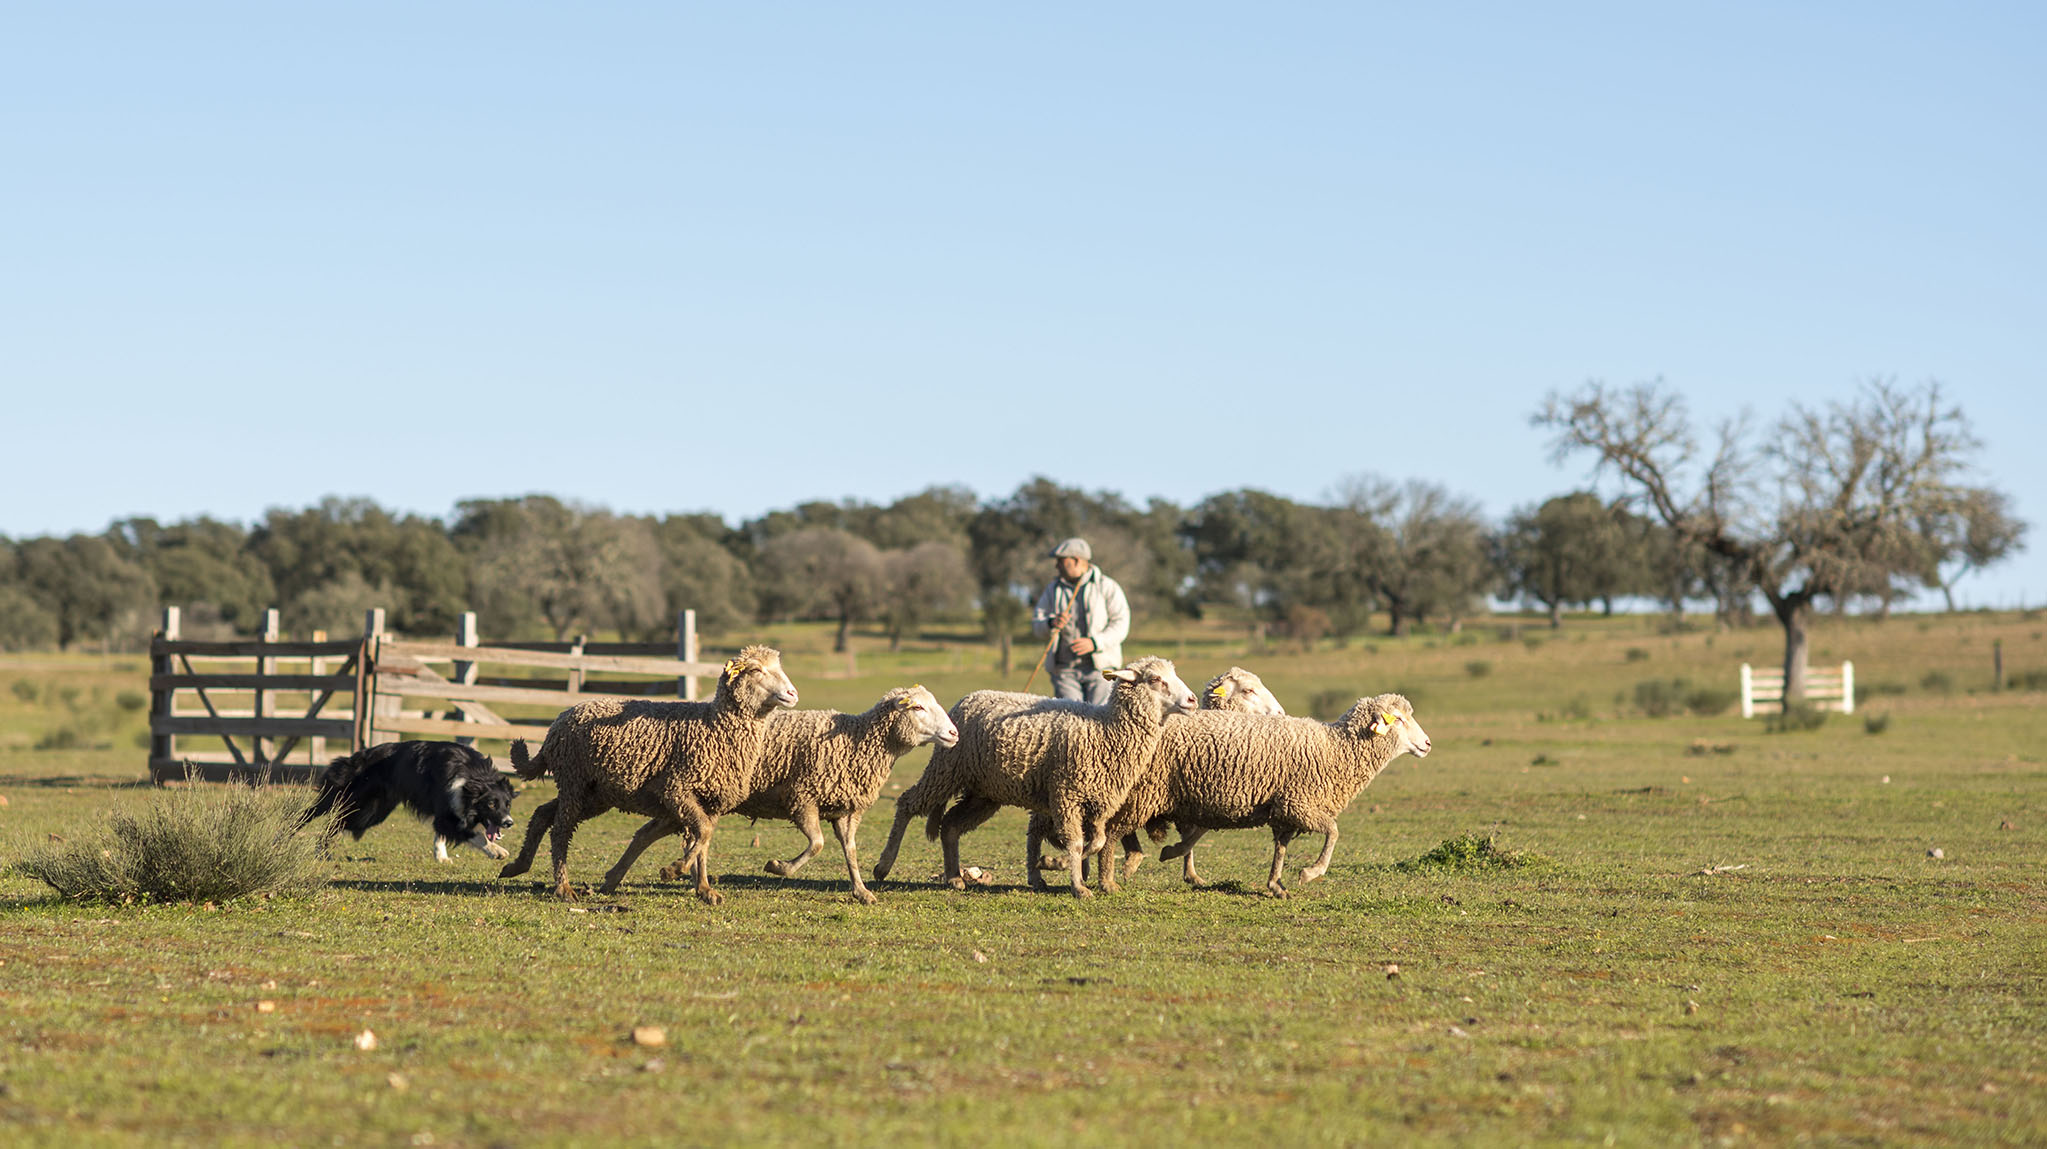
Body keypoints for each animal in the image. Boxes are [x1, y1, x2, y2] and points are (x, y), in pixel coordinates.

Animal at [495, 639, 798, 901]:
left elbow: (704, 839)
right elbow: (701, 834)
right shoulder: (676, 788)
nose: (792, 694)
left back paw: (517, 866)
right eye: (756, 670)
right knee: (559, 830)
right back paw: (563, 888)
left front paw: (704, 890)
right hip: (574, 780)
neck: (713, 726)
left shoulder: (710, 802)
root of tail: (557, 723)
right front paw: (674, 870)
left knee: (543, 813)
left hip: (594, 793)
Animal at [597, 679, 962, 905]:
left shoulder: (844, 810)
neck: (858, 741)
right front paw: (777, 867)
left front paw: (862, 892)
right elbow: (817, 845)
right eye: (917, 709)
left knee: (650, 833)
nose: (954, 734)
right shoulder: (802, 798)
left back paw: (616, 879)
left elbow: (851, 852)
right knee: (682, 835)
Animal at [867, 655, 1195, 897]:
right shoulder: (1066, 794)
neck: (1104, 729)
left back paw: (953, 877)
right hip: (947, 768)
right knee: (908, 803)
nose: (1192, 700)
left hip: (984, 792)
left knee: (950, 825)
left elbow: (1098, 842)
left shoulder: (1100, 802)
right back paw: (883, 866)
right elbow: (1076, 842)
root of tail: (971, 697)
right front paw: (1075, 882)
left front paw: (1055, 864)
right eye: (1155, 680)